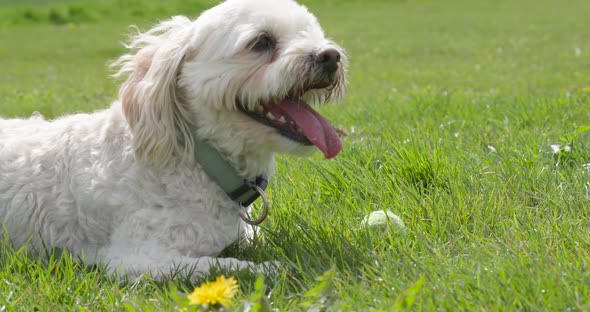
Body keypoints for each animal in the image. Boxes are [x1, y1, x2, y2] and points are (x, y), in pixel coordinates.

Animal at [0, 0, 346, 280]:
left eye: (311, 33)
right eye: (261, 42)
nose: (331, 56)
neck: (198, 158)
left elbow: (255, 235)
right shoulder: (136, 258)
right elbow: (220, 265)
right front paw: (270, 268)